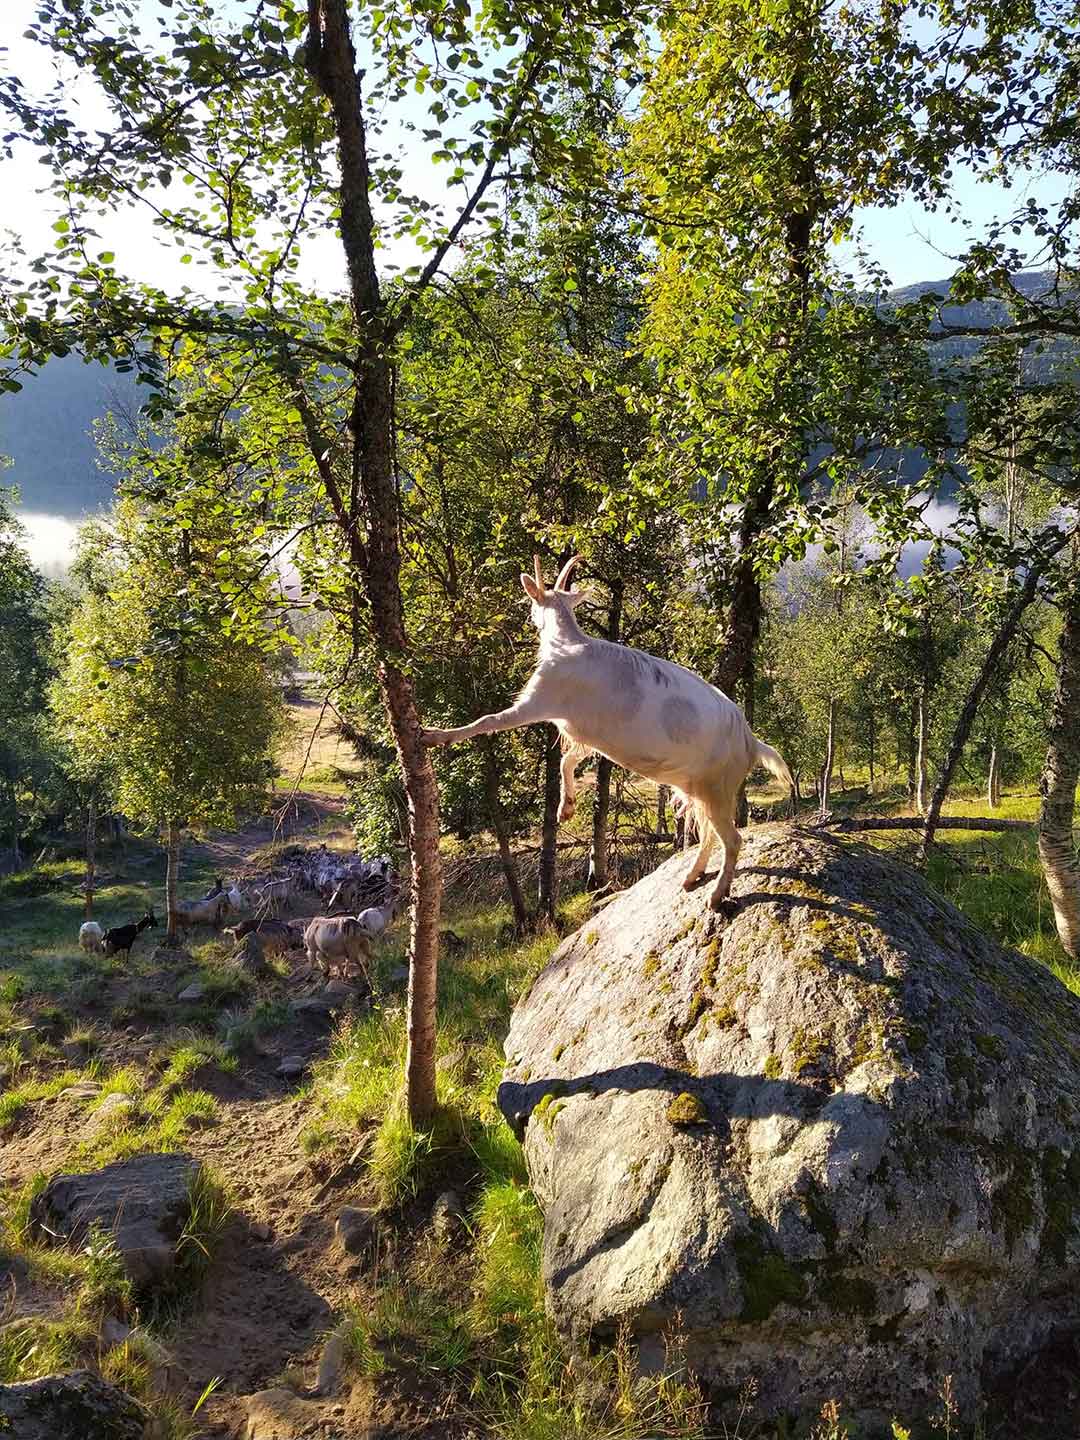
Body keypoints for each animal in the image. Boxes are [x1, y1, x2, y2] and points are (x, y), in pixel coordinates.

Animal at [424, 555, 793, 912]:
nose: (530, 615)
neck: (567, 642)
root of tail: (750, 741)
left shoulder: (539, 700)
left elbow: (487, 721)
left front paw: (435, 735)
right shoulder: (585, 733)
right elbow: (567, 760)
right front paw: (566, 809)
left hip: (717, 786)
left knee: (732, 839)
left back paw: (715, 896)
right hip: (696, 787)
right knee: (708, 833)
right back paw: (692, 877)